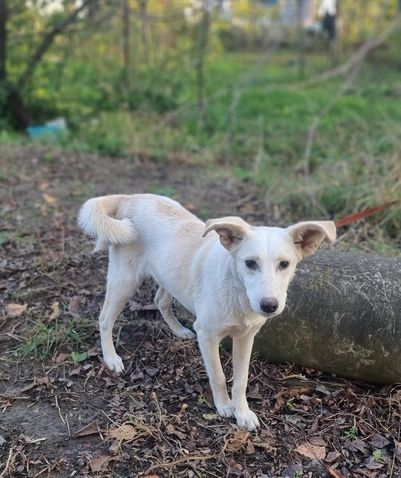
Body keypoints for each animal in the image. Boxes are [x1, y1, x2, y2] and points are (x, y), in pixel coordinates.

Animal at [78, 193, 334, 430]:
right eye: (250, 263)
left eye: (285, 264)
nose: (269, 305)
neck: (236, 291)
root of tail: (129, 197)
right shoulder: (208, 336)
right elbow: (218, 376)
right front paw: (224, 406)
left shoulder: (245, 338)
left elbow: (241, 380)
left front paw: (243, 413)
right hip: (124, 281)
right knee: (104, 319)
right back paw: (111, 358)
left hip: (167, 274)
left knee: (160, 300)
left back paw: (179, 331)